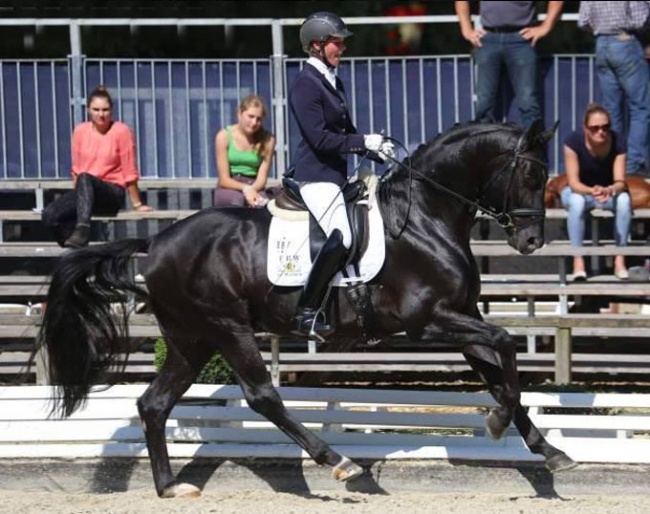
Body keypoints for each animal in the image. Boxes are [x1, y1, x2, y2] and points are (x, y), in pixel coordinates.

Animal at [36, 119, 572, 496]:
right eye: (531, 172)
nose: (530, 241)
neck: (425, 217)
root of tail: (156, 242)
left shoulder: (464, 316)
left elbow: (500, 374)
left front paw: (548, 450)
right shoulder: (428, 322)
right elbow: (505, 345)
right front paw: (498, 424)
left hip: (192, 339)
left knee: (154, 403)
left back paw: (171, 487)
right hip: (226, 326)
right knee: (261, 395)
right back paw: (337, 461)